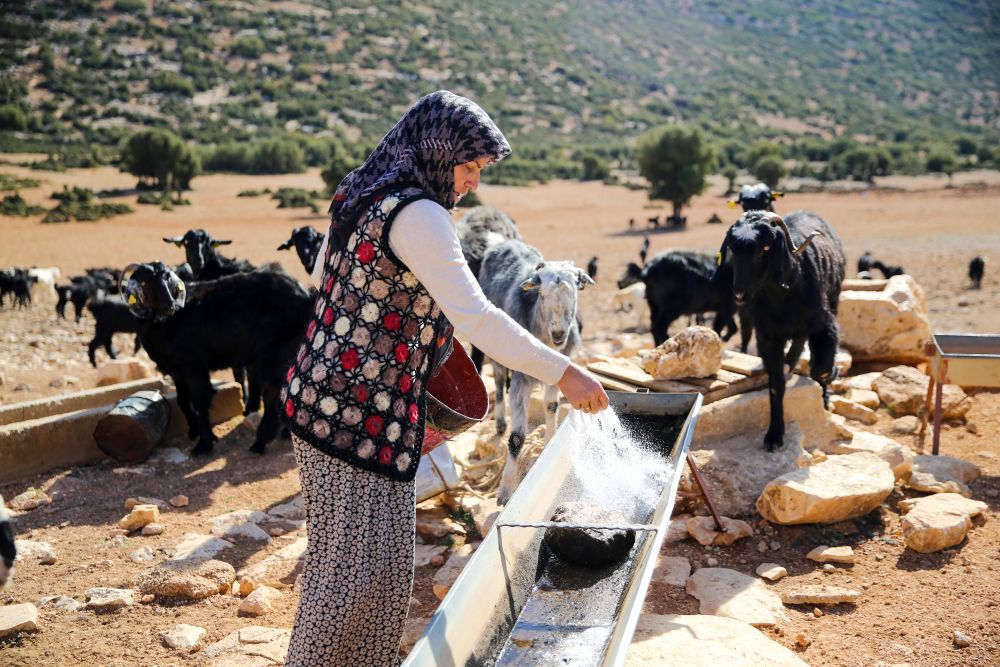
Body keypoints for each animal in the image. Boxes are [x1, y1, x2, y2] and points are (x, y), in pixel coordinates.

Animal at [716, 211, 848, 452]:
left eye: (765, 248)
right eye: (732, 249)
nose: (739, 294)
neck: (783, 295)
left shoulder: (825, 324)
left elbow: (821, 369)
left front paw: (830, 381)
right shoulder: (767, 336)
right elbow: (776, 384)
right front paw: (774, 435)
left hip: (834, 297)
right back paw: (791, 361)